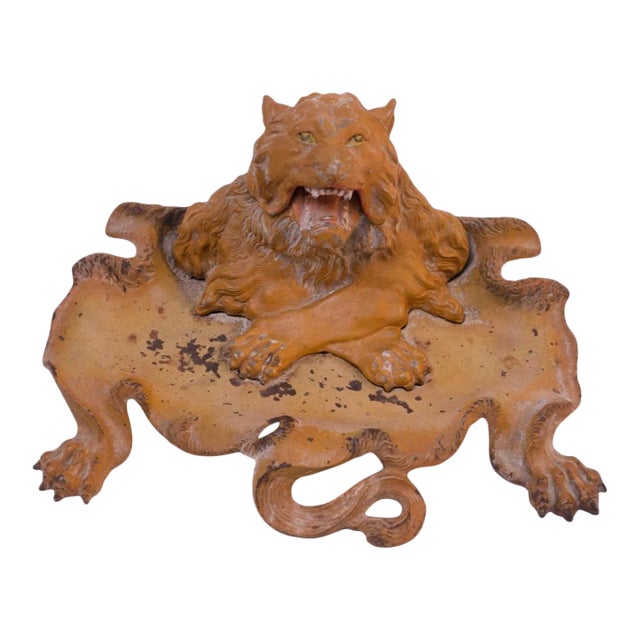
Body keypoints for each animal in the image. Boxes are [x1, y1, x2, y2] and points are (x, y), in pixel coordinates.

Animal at [172, 93, 469, 391]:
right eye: (305, 136)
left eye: (357, 139)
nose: (331, 168)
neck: (324, 256)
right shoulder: (239, 266)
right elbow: (274, 297)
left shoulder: (407, 269)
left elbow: (349, 304)